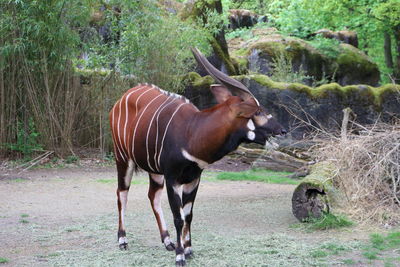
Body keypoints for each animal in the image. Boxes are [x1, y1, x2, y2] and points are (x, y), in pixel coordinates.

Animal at [108, 47, 286, 266]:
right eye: (258, 111)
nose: (282, 130)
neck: (192, 131)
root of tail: (122, 99)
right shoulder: (173, 178)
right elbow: (178, 217)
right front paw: (180, 256)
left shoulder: (193, 178)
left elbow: (189, 214)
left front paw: (188, 249)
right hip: (123, 158)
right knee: (121, 193)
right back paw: (123, 240)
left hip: (154, 170)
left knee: (152, 196)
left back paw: (167, 241)